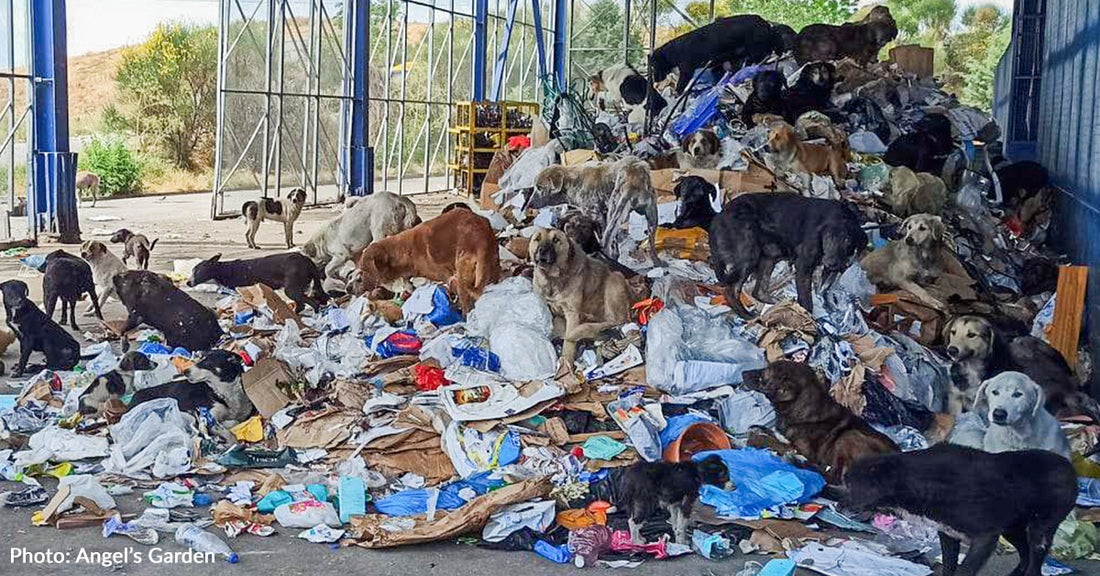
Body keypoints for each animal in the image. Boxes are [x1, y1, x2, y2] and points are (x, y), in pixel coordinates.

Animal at [349, 206, 501, 312]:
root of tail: (482, 240)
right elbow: (407, 283)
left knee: (465, 304)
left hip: (464, 272)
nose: (348, 289)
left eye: (363, 270)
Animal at [528, 228, 633, 369]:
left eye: (556, 240)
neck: (552, 278)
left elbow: (568, 344)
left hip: (615, 281)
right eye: (537, 239)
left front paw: (565, 362)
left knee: (616, 321)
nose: (542, 250)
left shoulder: (572, 313)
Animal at [712, 193, 866, 318]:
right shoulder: (804, 265)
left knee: (758, 291)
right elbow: (806, 300)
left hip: (769, 256)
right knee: (731, 291)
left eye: (847, 240)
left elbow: (824, 289)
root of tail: (719, 216)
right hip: (749, 256)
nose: (831, 262)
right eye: (828, 237)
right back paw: (746, 315)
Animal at [743, 362, 897, 483]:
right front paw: (759, 428)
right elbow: (775, 434)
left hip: (849, 436)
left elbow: (772, 442)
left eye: (764, 375)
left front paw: (755, 439)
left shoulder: (801, 449)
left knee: (834, 478)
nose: (743, 372)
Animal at [840, 446, 1073, 576]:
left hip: (1040, 529)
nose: (838, 505)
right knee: (1024, 555)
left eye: (850, 485)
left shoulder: (985, 537)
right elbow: (949, 566)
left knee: (1034, 561)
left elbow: (964, 570)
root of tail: (1070, 468)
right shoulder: (948, 534)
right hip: (1012, 529)